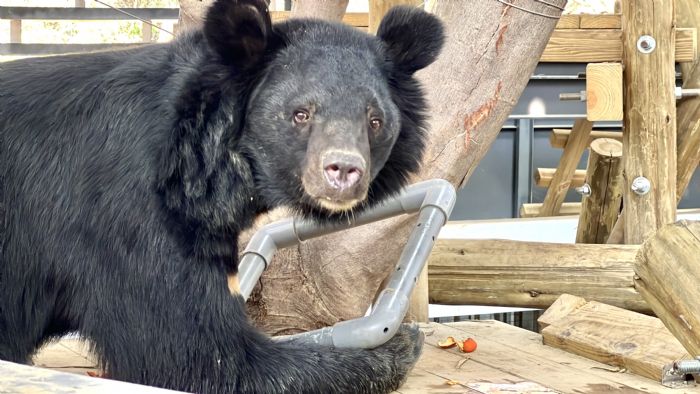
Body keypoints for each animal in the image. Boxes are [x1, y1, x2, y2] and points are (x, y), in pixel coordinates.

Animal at [0, 1, 446, 392]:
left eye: (375, 121)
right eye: (301, 114)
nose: (343, 171)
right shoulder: (127, 208)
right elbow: (196, 353)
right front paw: (399, 345)